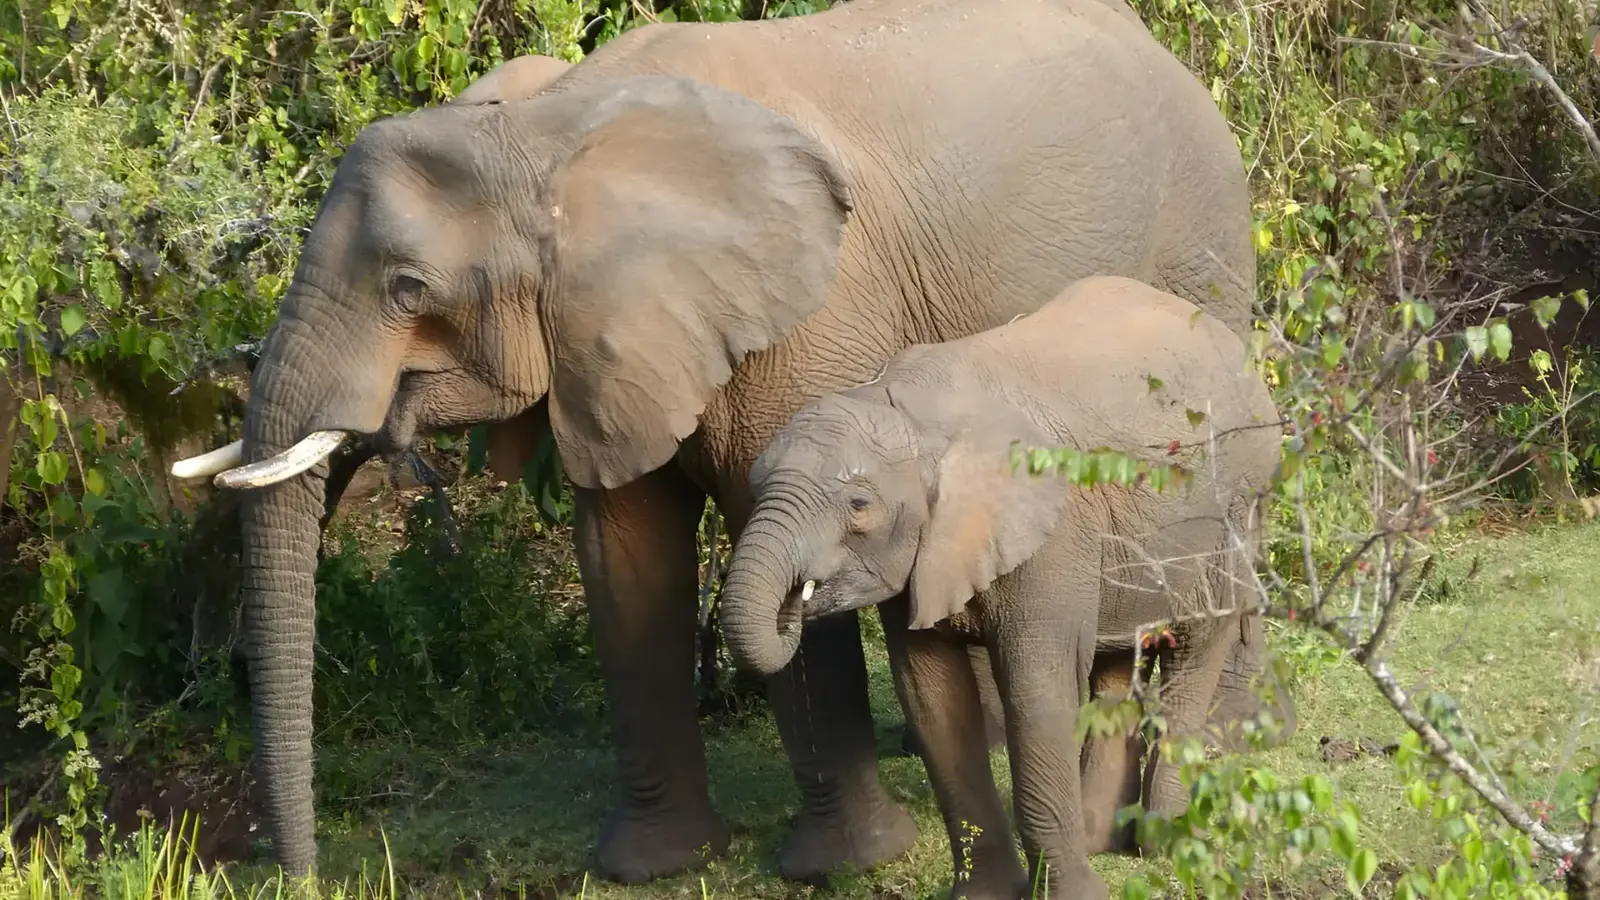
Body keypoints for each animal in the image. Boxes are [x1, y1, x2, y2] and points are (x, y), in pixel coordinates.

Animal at [720, 276, 1285, 900]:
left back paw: (1164, 842)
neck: (909, 412)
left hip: (1236, 505)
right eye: (753, 488)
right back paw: (1102, 840)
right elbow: (933, 699)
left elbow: (1038, 692)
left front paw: (1077, 895)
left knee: (1196, 648)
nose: (794, 602)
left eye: (859, 505)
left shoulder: (1052, 537)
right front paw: (987, 894)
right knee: (1116, 661)